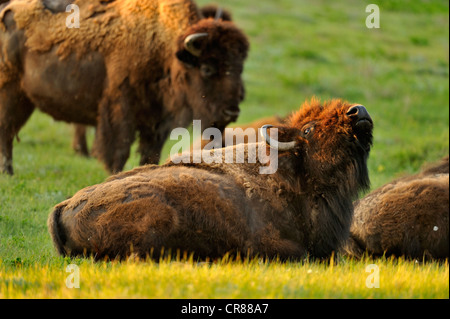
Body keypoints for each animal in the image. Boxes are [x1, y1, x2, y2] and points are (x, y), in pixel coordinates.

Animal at [0, 0, 250, 175]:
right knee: (6, 130)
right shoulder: (120, 111)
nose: (231, 111)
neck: (163, 47)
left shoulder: (156, 123)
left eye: (240, 67)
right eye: (207, 68)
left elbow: (150, 155)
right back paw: (8, 172)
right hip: (11, 93)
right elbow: (119, 151)